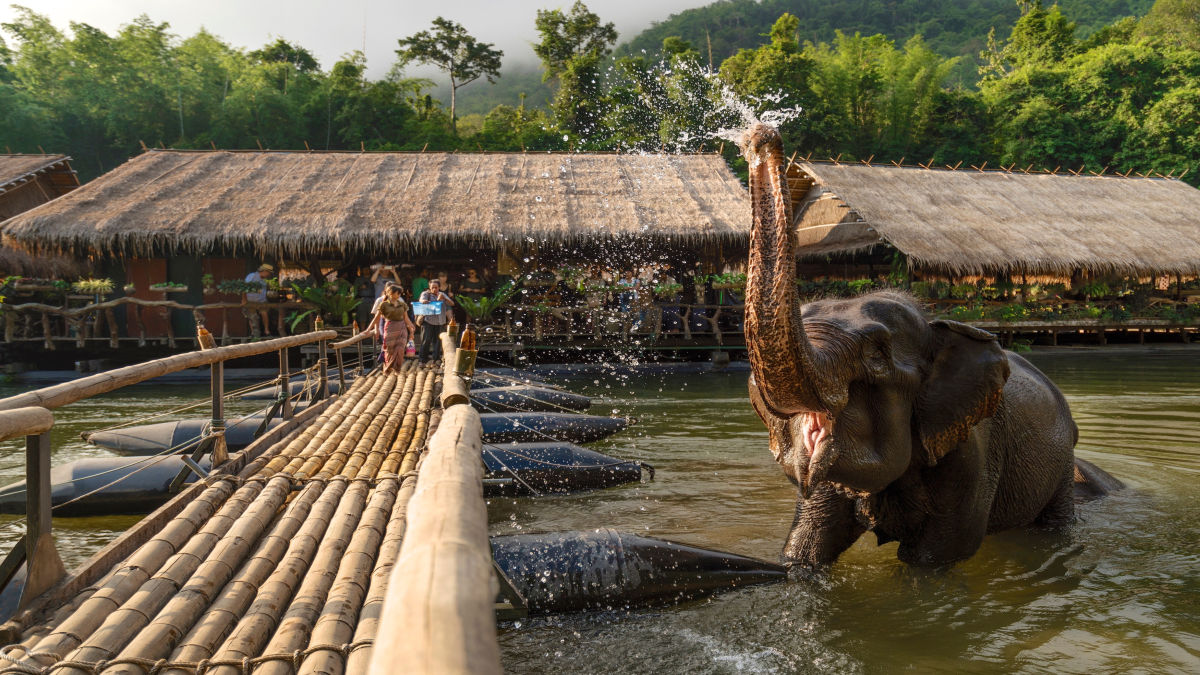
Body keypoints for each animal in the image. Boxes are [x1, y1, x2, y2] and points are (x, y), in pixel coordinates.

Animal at [734, 121, 1118, 566]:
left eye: (876, 353)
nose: (761, 136)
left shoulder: (971, 451)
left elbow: (937, 556)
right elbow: (808, 543)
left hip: (1059, 470)